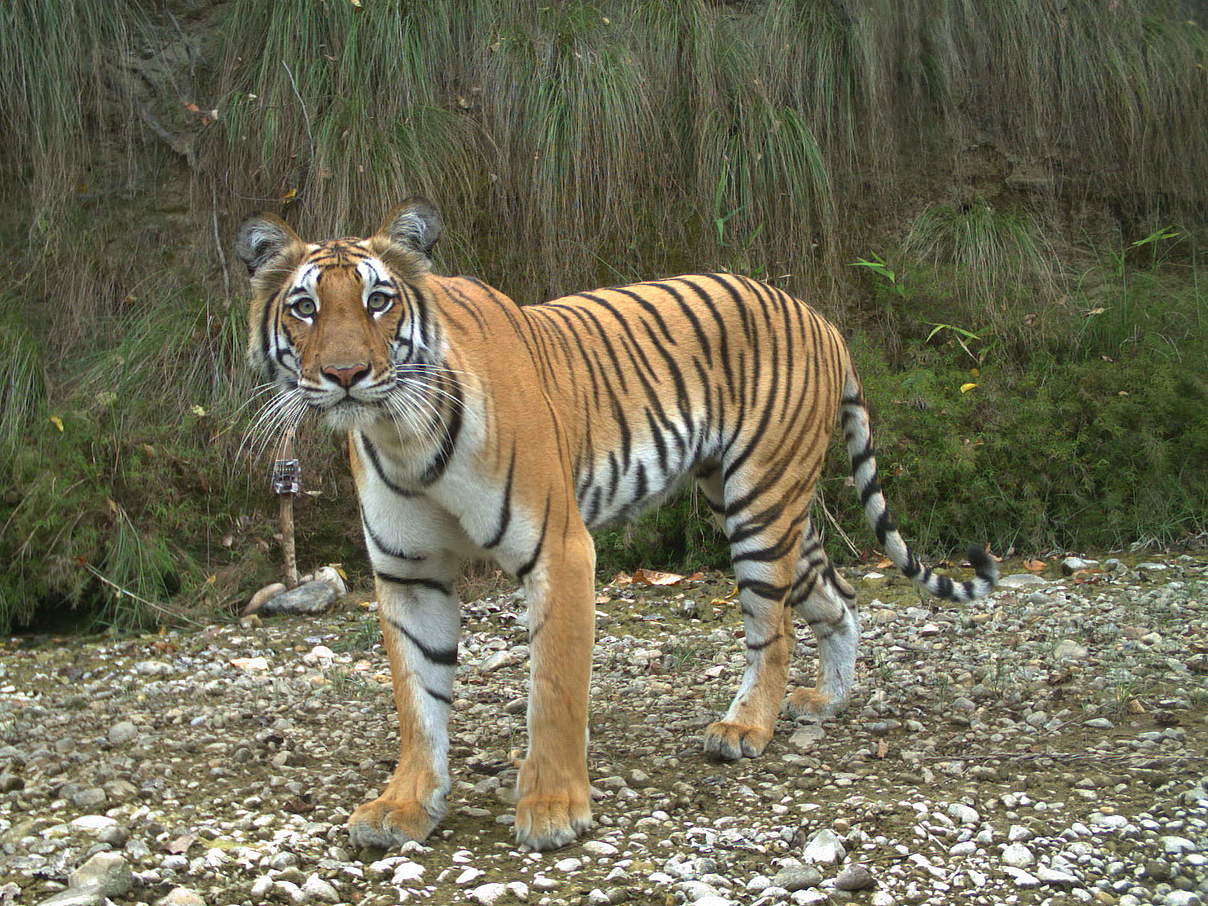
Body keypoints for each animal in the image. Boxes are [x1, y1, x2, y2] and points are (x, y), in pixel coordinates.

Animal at [230, 196, 995, 850]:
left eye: (379, 301)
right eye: (304, 308)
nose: (346, 374)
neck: (401, 435)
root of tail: (818, 315)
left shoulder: (560, 549)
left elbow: (555, 689)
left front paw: (552, 808)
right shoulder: (408, 574)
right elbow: (418, 700)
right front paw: (404, 806)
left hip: (760, 503)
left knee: (772, 630)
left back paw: (745, 727)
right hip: (761, 505)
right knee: (838, 598)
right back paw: (826, 701)